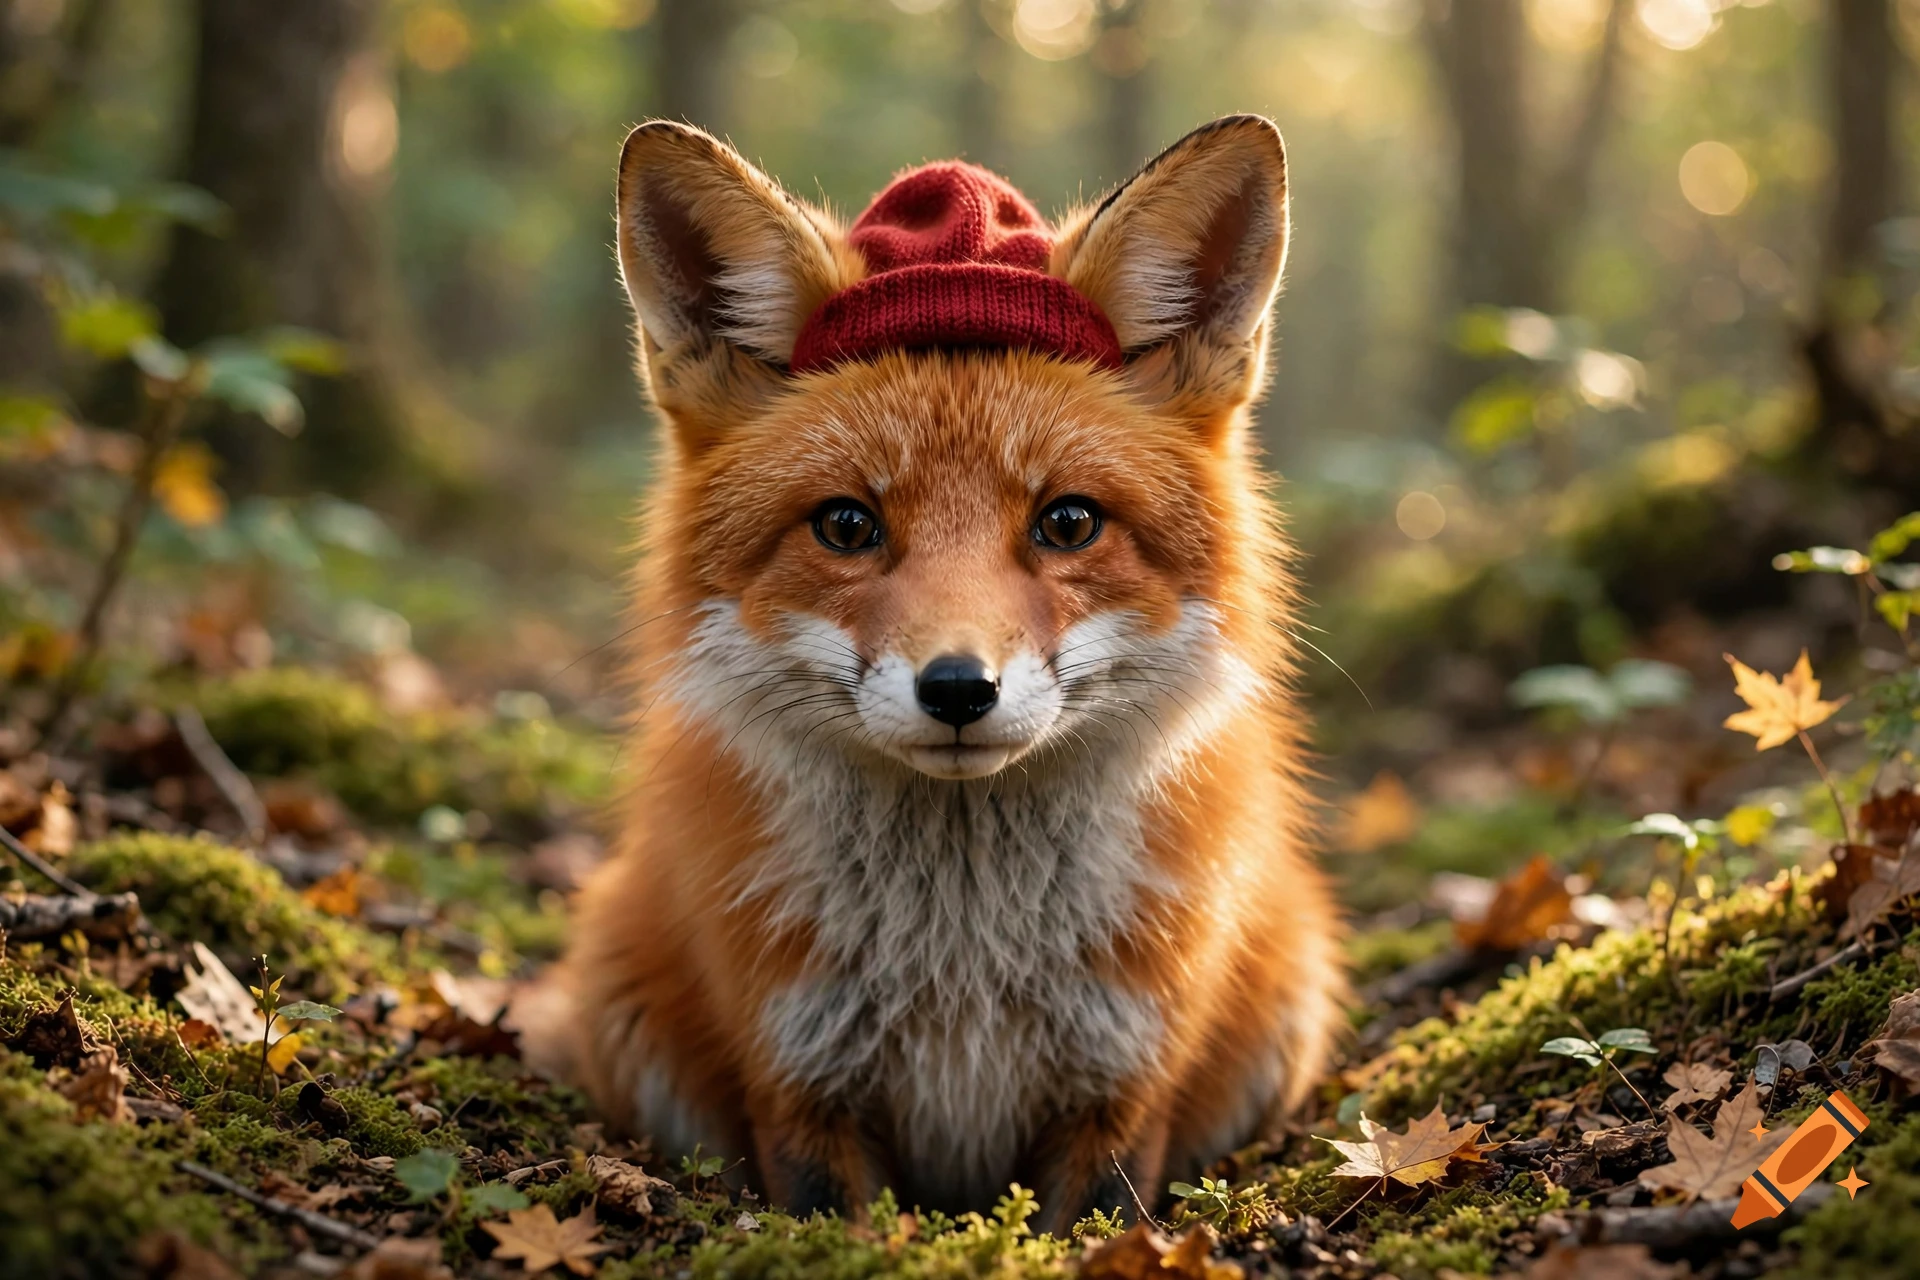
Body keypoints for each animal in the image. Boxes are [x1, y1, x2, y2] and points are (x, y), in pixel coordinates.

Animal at [554, 113, 1345, 1232]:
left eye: (1069, 521)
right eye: (847, 525)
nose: (960, 689)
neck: (963, 961)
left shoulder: (1122, 1089)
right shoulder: (798, 1083)